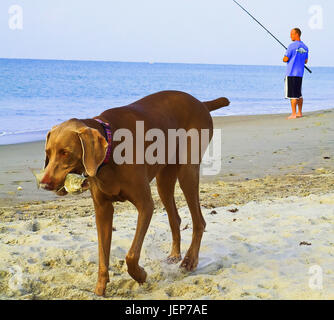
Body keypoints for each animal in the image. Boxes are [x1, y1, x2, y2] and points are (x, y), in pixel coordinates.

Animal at [39, 89, 230, 296]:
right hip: (164, 180)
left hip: (187, 171)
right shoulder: (103, 210)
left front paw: (141, 275)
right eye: (48, 152)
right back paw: (174, 255)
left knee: (199, 221)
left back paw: (189, 261)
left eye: (65, 152)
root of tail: (200, 103)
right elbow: (102, 255)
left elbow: (131, 255)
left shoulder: (145, 205)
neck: (110, 152)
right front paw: (99, 289)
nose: (44, 183)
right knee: (175, 218)